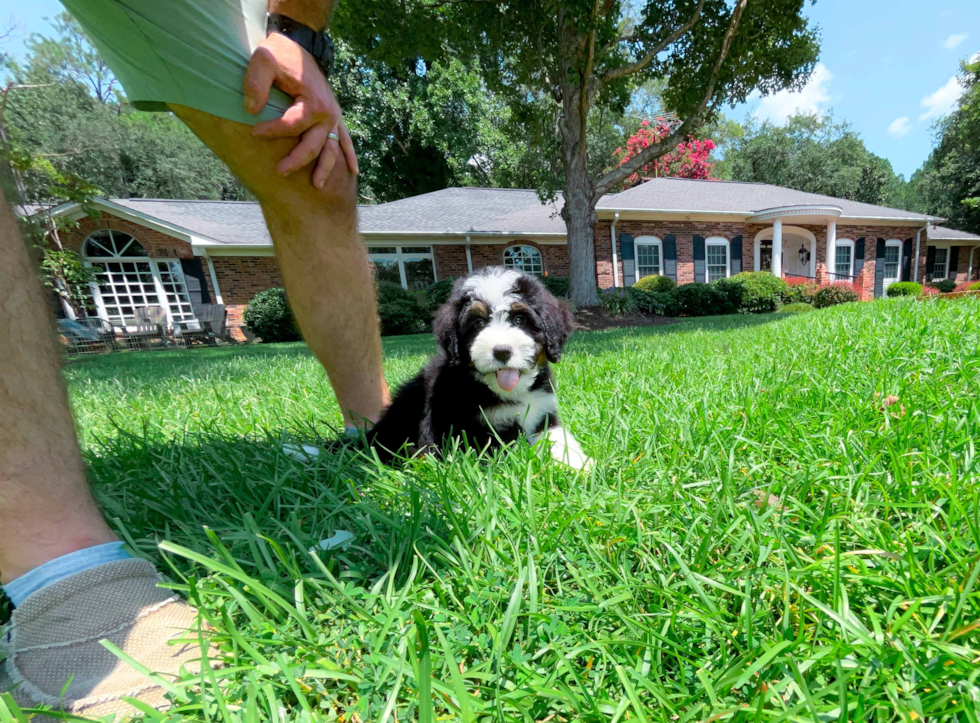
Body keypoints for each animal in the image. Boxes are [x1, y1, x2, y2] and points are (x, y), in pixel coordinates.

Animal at [372, 266, 588, 470]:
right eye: (479, 323)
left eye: (519, 320)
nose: (502, 352)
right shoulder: (473, 431)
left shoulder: (543, 410)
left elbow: (557, 438)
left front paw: (578, 465)